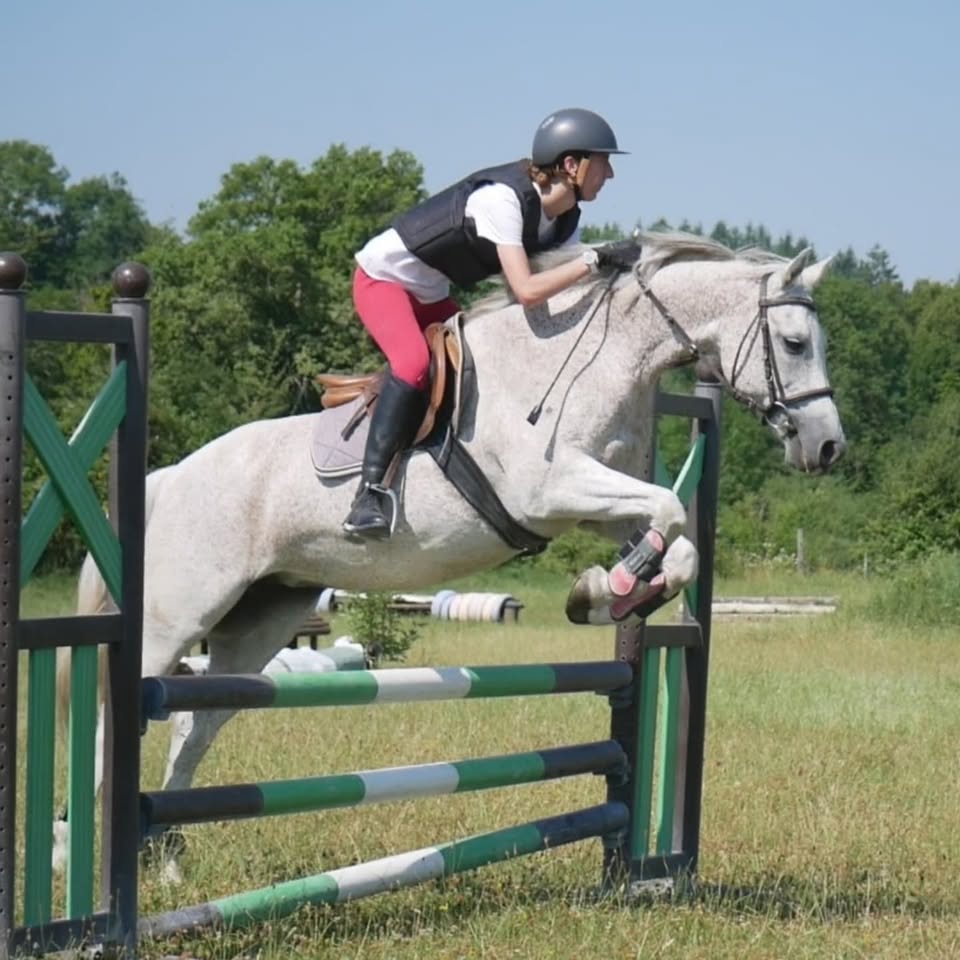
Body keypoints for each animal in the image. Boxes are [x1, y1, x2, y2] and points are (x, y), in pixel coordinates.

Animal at [54, 231, 846, 875]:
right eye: (796, 343)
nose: (828, 448)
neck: (594, 359)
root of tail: (168, 479)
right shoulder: (549, 488)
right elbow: (672, 510)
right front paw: (608, 590)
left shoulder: (591, 503)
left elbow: (673, 540)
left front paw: (606, 593)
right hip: (175, 617)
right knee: (114, 717)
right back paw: (70, 853)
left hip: (259, 619)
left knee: (195, 722)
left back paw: (164, 855)